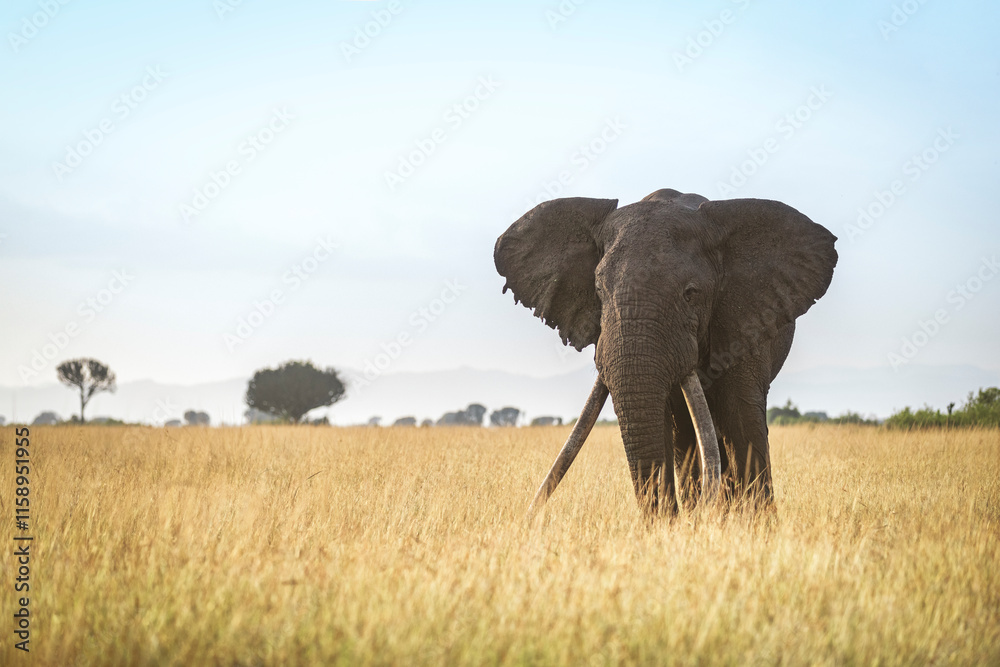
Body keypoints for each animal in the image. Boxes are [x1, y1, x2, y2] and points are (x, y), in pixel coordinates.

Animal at [494, 189, 837, 515]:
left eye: (691, 294)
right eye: (598, 292)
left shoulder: (744, 317)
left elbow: (742, 422)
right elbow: (662, 425)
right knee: (685, 434)